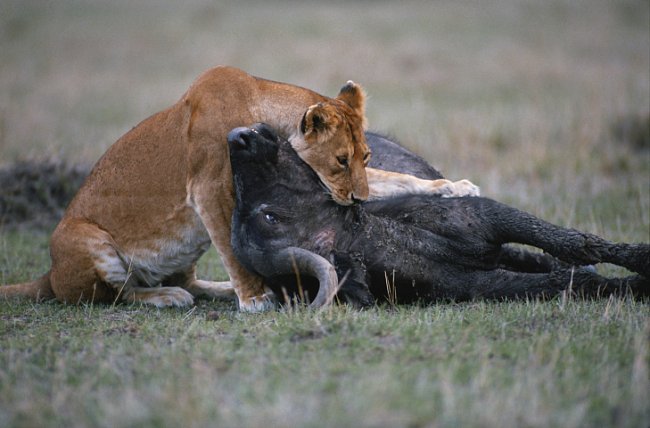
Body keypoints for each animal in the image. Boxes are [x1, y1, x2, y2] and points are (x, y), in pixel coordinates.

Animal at [0, 66, 476, 310]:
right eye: (341, 160)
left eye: (366, 157)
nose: (356, 202)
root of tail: (49, 275)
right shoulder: (209, 187)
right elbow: (232, 249)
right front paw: (254, 299)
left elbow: (397, 181)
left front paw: (456, 187)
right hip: (85, 239)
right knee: (112, 295)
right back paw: (166, 296)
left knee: (187, 280)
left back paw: (213, 289)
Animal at [225, 122, 644, 306]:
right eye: (268, 217)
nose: (237, 137)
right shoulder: (482, 285)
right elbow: (576, 281)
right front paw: (637, 284)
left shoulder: (489, 217)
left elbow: (576, 242)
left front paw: (642, 259)